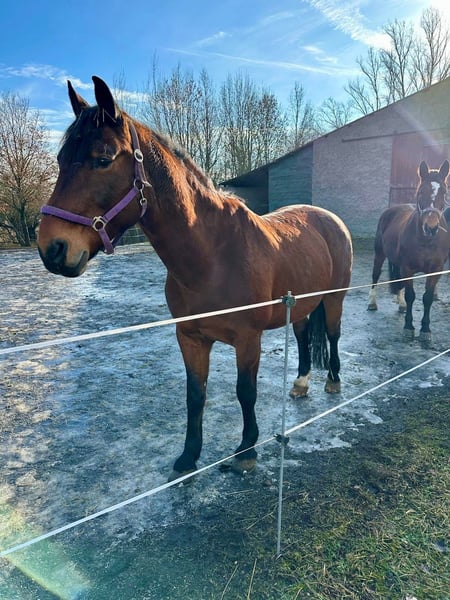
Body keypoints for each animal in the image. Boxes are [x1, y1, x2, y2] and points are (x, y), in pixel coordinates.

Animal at [37, 76, 353, 481]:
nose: (52, 248)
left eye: (103, 160)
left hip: (335, 298)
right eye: (61, 160)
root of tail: (329, 218)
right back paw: (300, 384)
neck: (212, 258)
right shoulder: (190, 338)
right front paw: (188, 456)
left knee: (332, 334)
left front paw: (247, 450)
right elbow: (195, 395)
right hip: (299, 305)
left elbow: (245, 392)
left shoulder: (247, 341)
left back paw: (333, 381)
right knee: (302, 337)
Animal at [368, 160, 450, 342]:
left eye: (444, 192)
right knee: (375, 275)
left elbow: (427, 298)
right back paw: (372, 303)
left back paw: (401, 305)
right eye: (421, 191)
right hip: (379, 254)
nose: (431, 227)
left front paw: (425, 329)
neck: (426, 240)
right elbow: (411, 295)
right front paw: (408, 327)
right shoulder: (408, 267)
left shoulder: (435, 270)